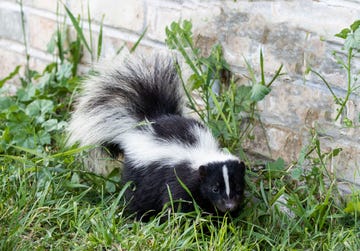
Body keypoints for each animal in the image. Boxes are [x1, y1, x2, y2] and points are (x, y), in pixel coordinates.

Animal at [67, 54, 246, 219]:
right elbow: (177, 202)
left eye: (238, 187)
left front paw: (222, 220)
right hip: (139, 172)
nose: (229, 206)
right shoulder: (178, 178)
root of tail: (152, 119)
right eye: (214, 188)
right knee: (137, 195)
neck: (202, 152)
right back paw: (137, 217)